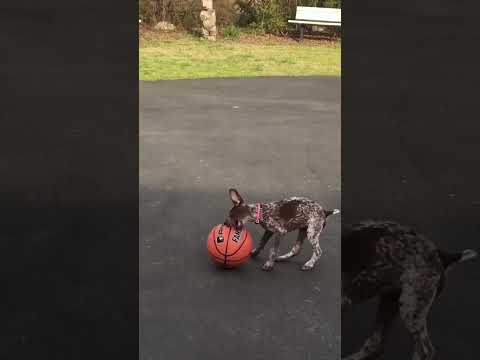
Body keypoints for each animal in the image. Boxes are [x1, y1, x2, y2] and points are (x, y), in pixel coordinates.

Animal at [342, 219, 476, 360]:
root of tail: (442, 255)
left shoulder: (343, 301)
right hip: (390, 303)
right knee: (376, 346)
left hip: (411, 308)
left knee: (425, 351)